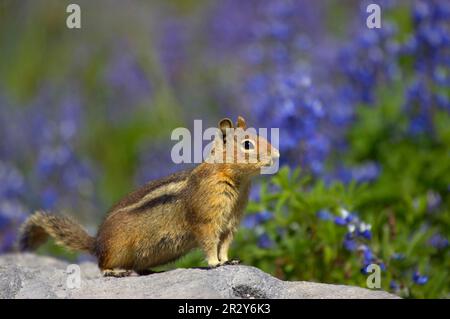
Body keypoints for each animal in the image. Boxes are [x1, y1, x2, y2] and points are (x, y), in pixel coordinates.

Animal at [19, 117, 280, 278]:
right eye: (247, 144)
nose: (277, 153)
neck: (233, 180)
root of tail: (96, 243)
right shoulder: (206, 220)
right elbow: (208, 244)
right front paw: (215, 263)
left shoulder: (231, 224)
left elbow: (224, 245)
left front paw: (228, 260)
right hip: (117, 248)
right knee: (102, 265)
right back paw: (115, 271)